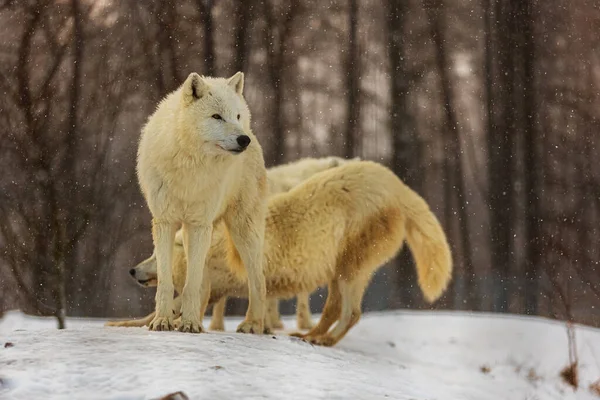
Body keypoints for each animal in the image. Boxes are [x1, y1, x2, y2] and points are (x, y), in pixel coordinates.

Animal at [112, 161, 452, 346]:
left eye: (153, 256)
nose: (132, 270)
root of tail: (397, 185)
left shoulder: (214, 276)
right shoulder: (218, 283)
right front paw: (125, 323)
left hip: (352, 255)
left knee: (350, 311)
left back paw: (320, 339)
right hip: (343, 265)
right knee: (337, 307)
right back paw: (309, 335)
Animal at [137, 71, 268, 334]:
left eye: (236, 116)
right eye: (216, 116)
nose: (243, 140)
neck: (191, 166)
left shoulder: (199, 225)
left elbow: (193, 284)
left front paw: (190, 324)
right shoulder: (165, 222)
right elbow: (166, 281)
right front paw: (163, 321)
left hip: (244, 232)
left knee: (258, 281)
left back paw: (252, 325)